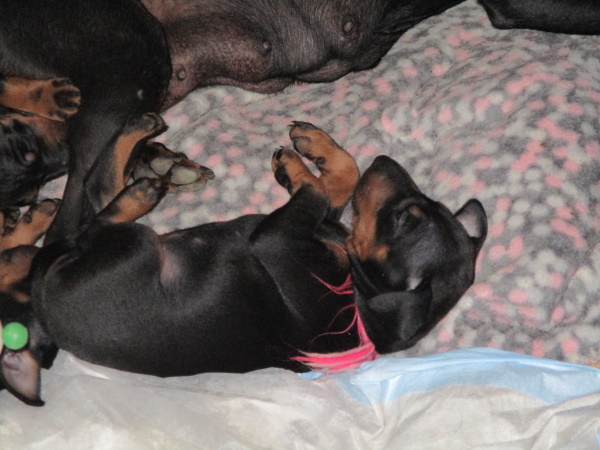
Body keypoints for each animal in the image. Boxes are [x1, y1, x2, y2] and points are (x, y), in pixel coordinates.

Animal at [0, 121, 487, 405]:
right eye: (424, 205)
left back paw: (143, 173)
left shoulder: (276, 239)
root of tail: (41, 296)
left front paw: (295, 164)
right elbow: (340, 181)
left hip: (131, 246)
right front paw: (315, 145)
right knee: (99, 190)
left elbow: (317, 190)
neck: (359, 297)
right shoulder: (319, 226)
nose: (384, 160)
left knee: (99, 205)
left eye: (405, 218)